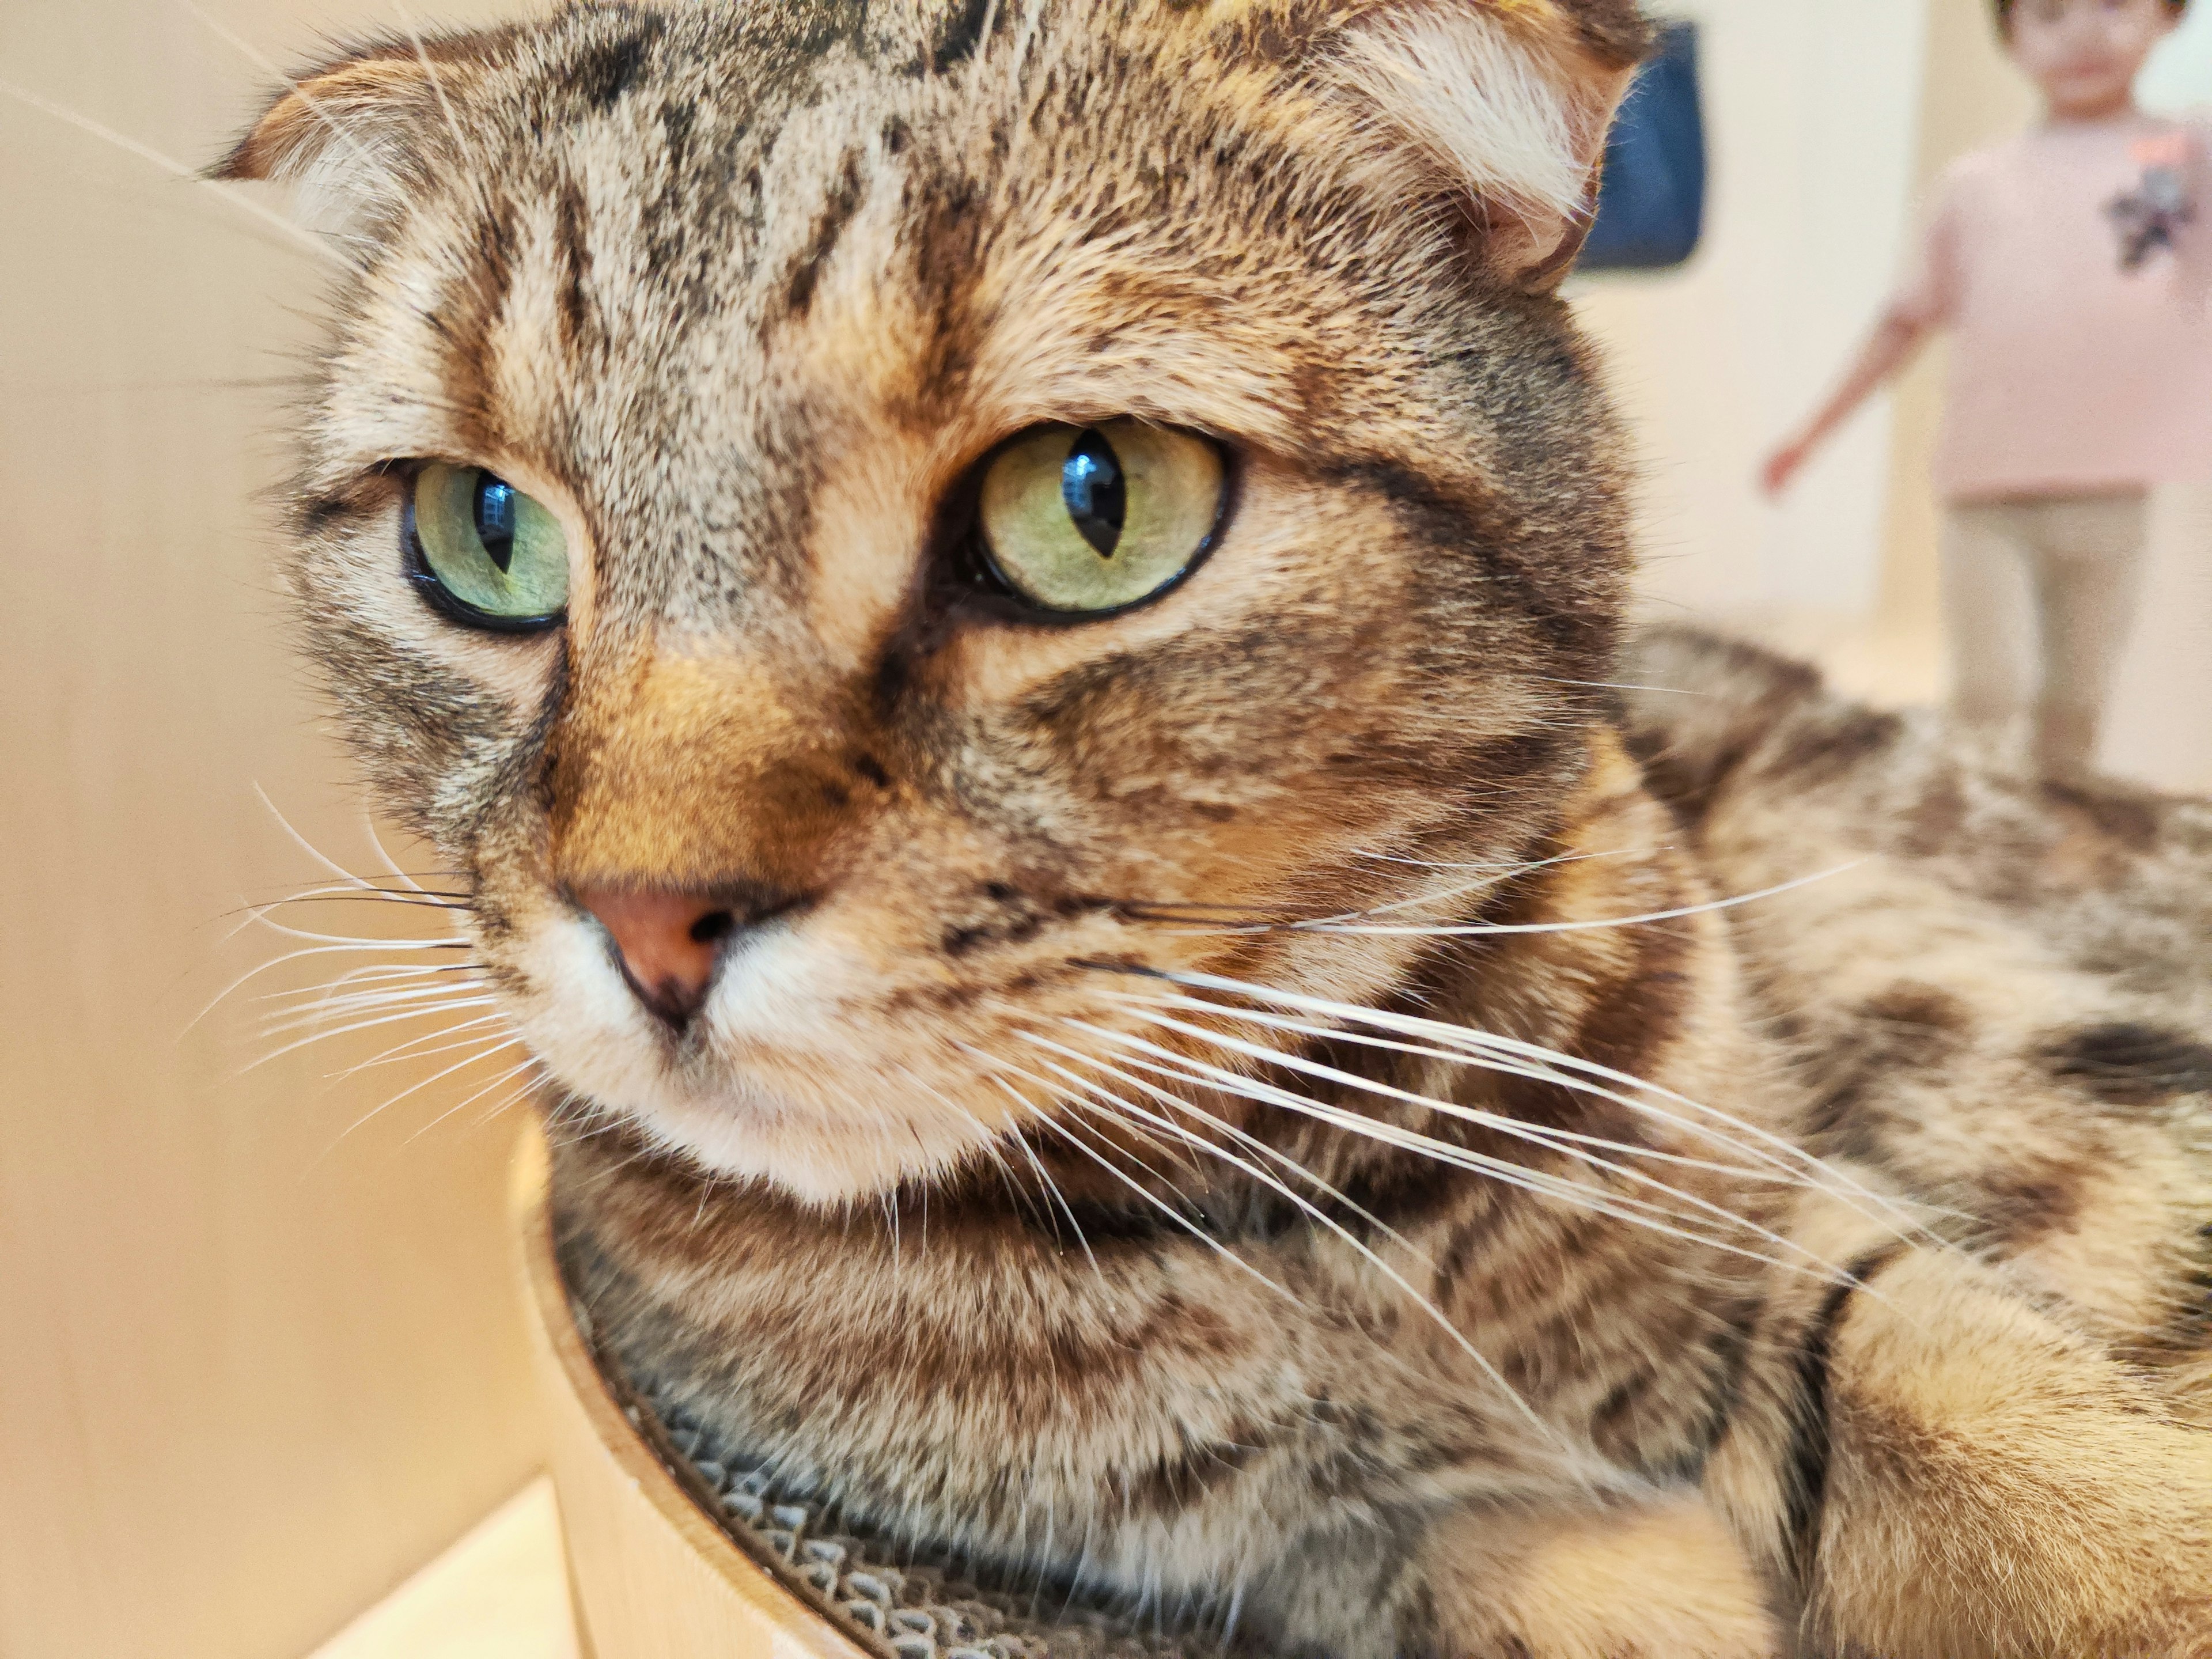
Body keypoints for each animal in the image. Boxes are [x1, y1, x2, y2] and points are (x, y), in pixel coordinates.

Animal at [211, 3, 2212, 1659]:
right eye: (481, 534)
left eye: (1089, 504)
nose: (648, 916)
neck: (1284, 1211)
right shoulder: (1295, 1547)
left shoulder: (1769, 1214)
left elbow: (1973, 1391)